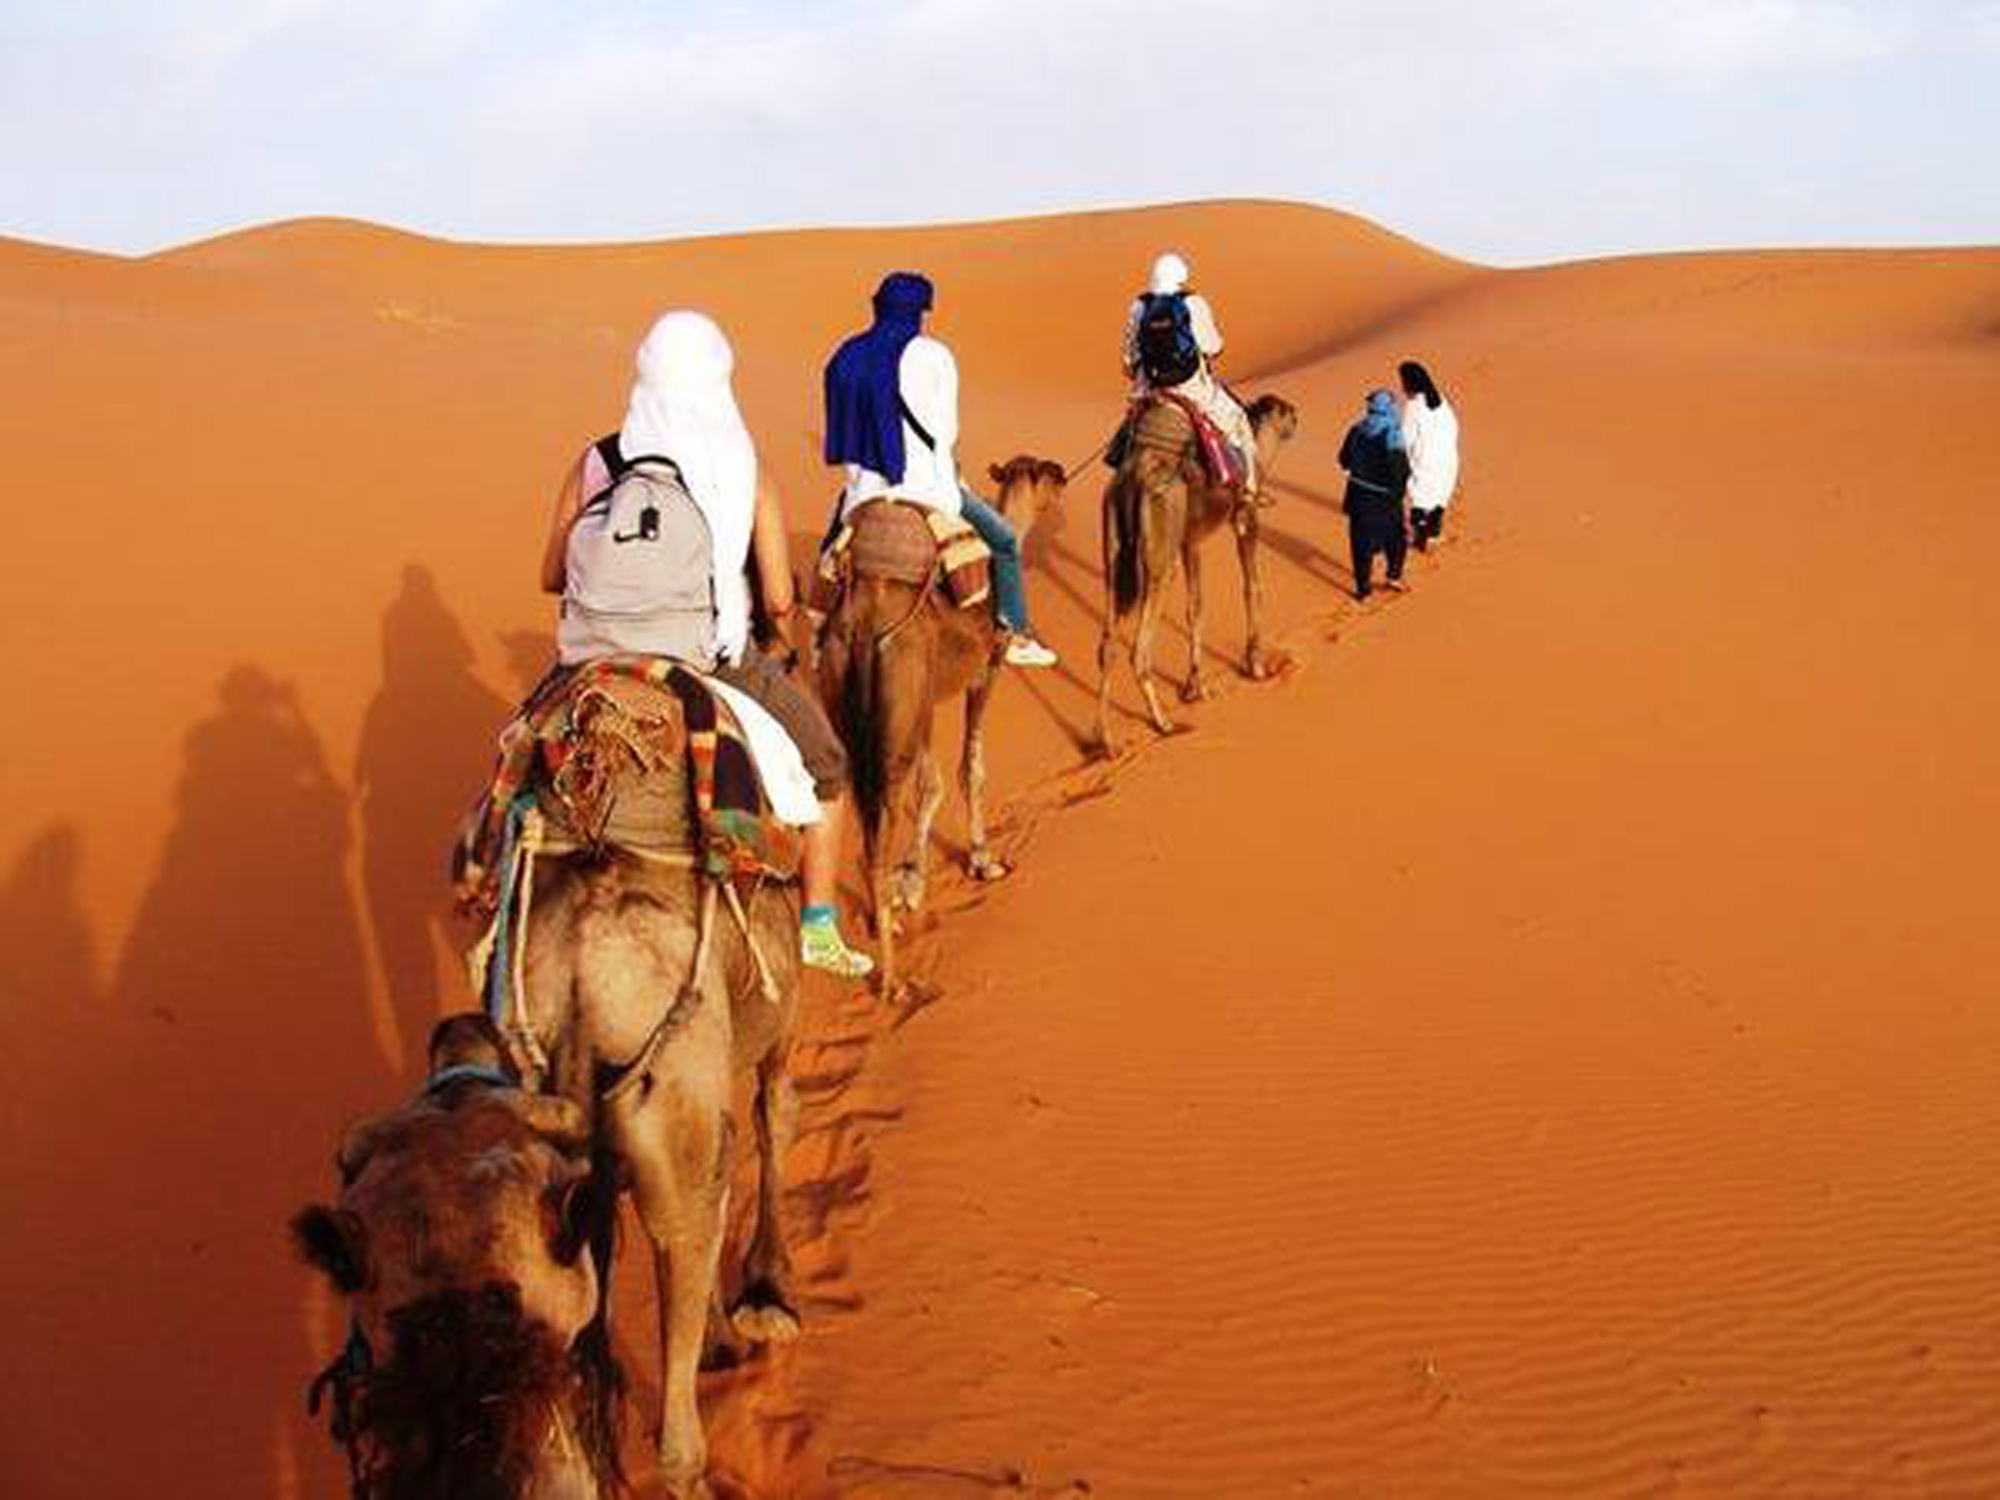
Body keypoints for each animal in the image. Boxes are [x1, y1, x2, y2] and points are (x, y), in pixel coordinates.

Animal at [816, 458, 1064, 1000]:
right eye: (1046, 474)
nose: (1063, 477)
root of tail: (865, 618)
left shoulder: (925, 704)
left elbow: (930, 786)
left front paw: (913, 881)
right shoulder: (984, 671)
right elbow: (970, 768)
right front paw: (982, 860)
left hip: (851, 698)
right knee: (883, 812)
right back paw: (891, 977)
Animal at [1096, 396, 1296, 756]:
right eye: (1286, 412)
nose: (1297, 417)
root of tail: (1135, 477)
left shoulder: (1190, 541)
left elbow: (1195, 608)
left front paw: (1195, 686)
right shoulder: (1246, 518)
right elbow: (1252, 587)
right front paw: (1256, 666)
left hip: (1113, 545)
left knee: (1108, 645)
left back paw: (1107, 742)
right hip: (1161, 551)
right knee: (1139, 650)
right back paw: (1165, 724)